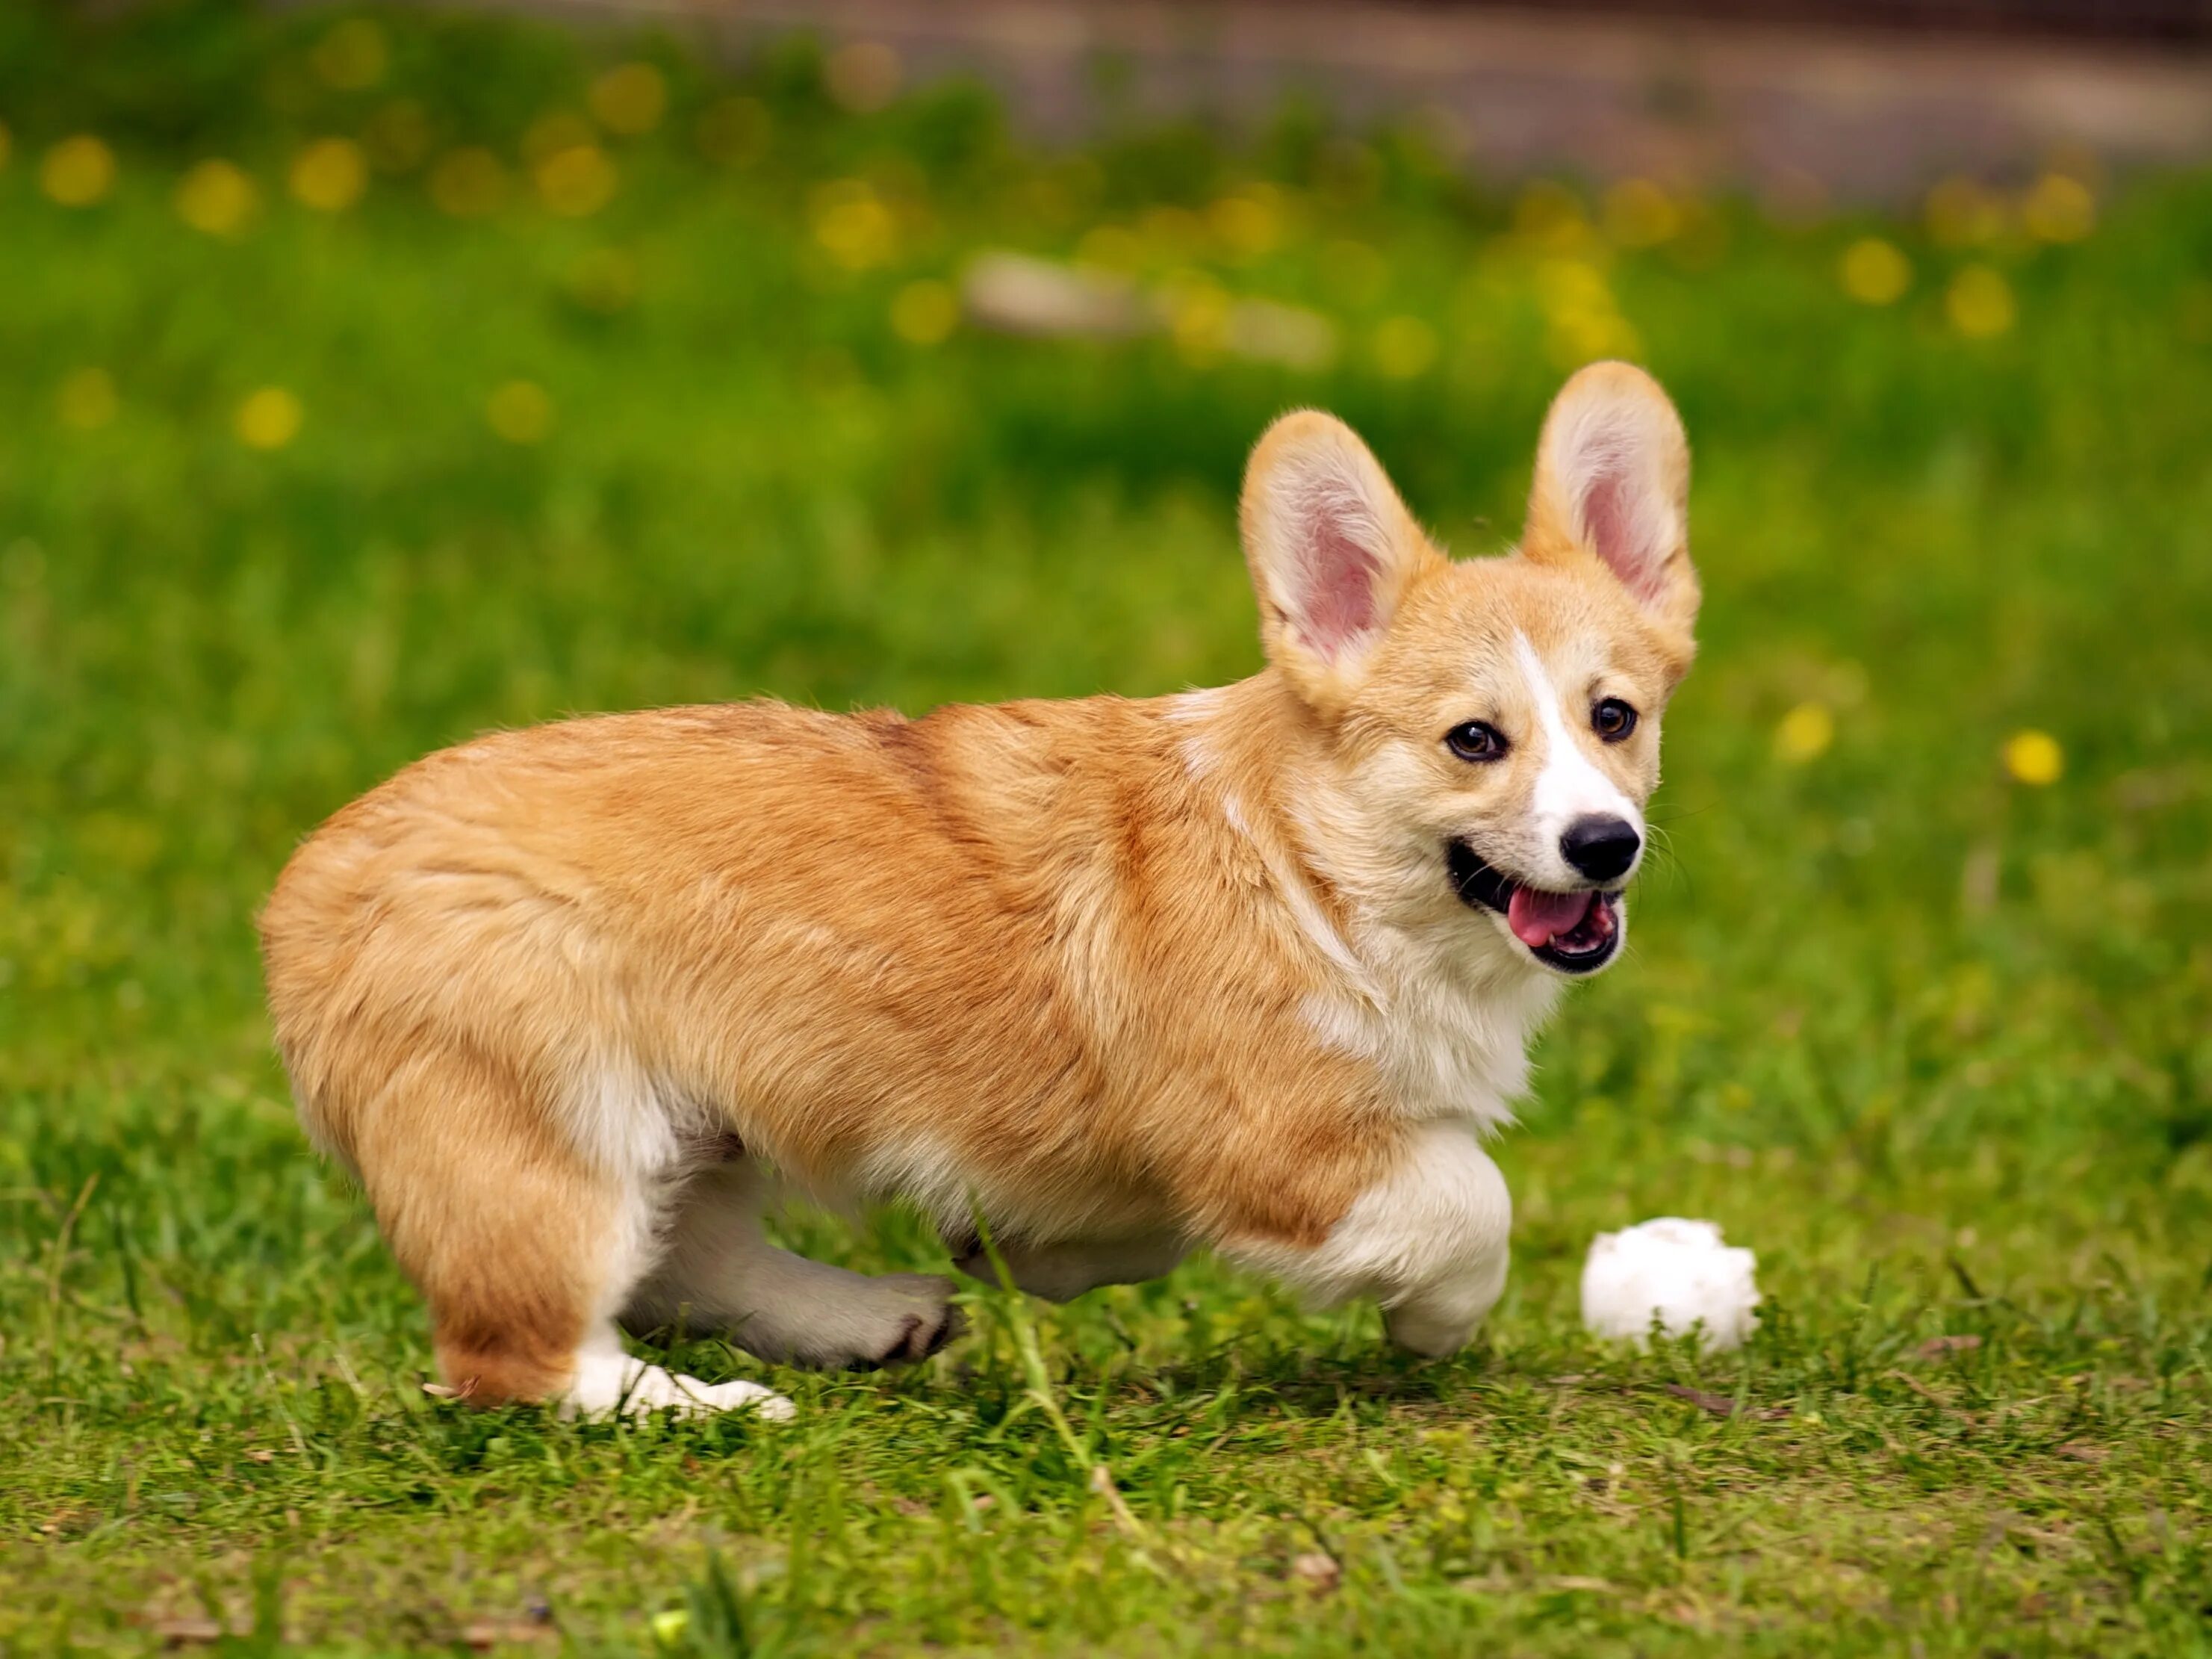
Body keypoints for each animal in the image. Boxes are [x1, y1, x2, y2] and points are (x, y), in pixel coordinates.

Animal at [263, 360, 1707, 1415]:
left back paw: (864, 1320)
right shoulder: (1294, 1147)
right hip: (555, 1129)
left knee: (688, 1257)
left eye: (1614, 718)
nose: (1602, 845)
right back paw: (708, 1408)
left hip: (692, 1122)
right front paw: (1434, 1320)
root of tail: (304, 889)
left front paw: (1022, 1251)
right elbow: (1472, 1203)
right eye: (1473, 741)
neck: (1321, 865)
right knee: (515, 1356)